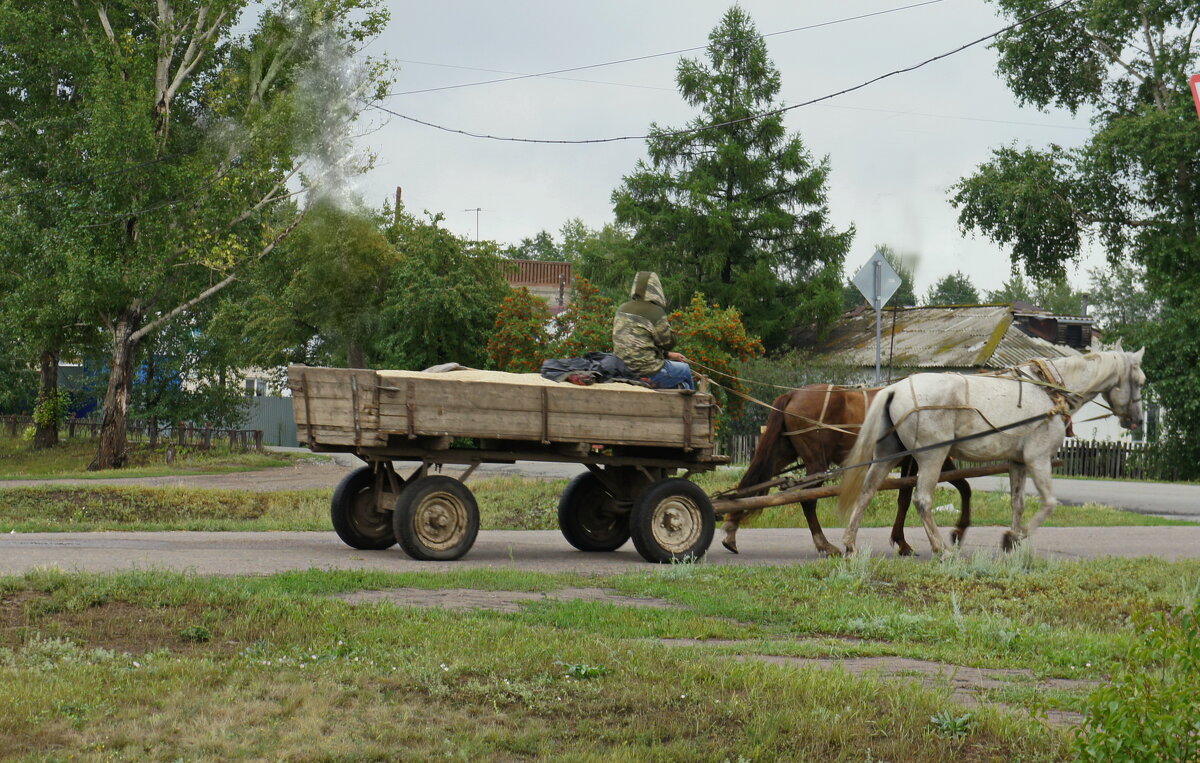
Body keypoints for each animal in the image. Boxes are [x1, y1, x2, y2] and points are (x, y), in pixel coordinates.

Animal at [715, 386, 969, 554]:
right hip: (816, 462)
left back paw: (731, 531)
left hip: (781, 452)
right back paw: (824, 544)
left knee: (751, 485)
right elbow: (955, 488)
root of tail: (793, 394)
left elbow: (911, 497)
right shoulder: (922, 458)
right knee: (807, 500)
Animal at [835, 347, 1142, 554]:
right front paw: (1015, 538)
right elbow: (1049, 503)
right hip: (932, 457)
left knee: (867, 492)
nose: (1137, 421)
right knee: (922, 500)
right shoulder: (1038, 459)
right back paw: (941, 549)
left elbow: (1018, 503)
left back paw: (849, 545)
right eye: (1140, 382)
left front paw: (1012, 541)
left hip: (889, 455)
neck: (1049, 390)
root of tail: (895, 389)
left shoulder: (1018, 462)